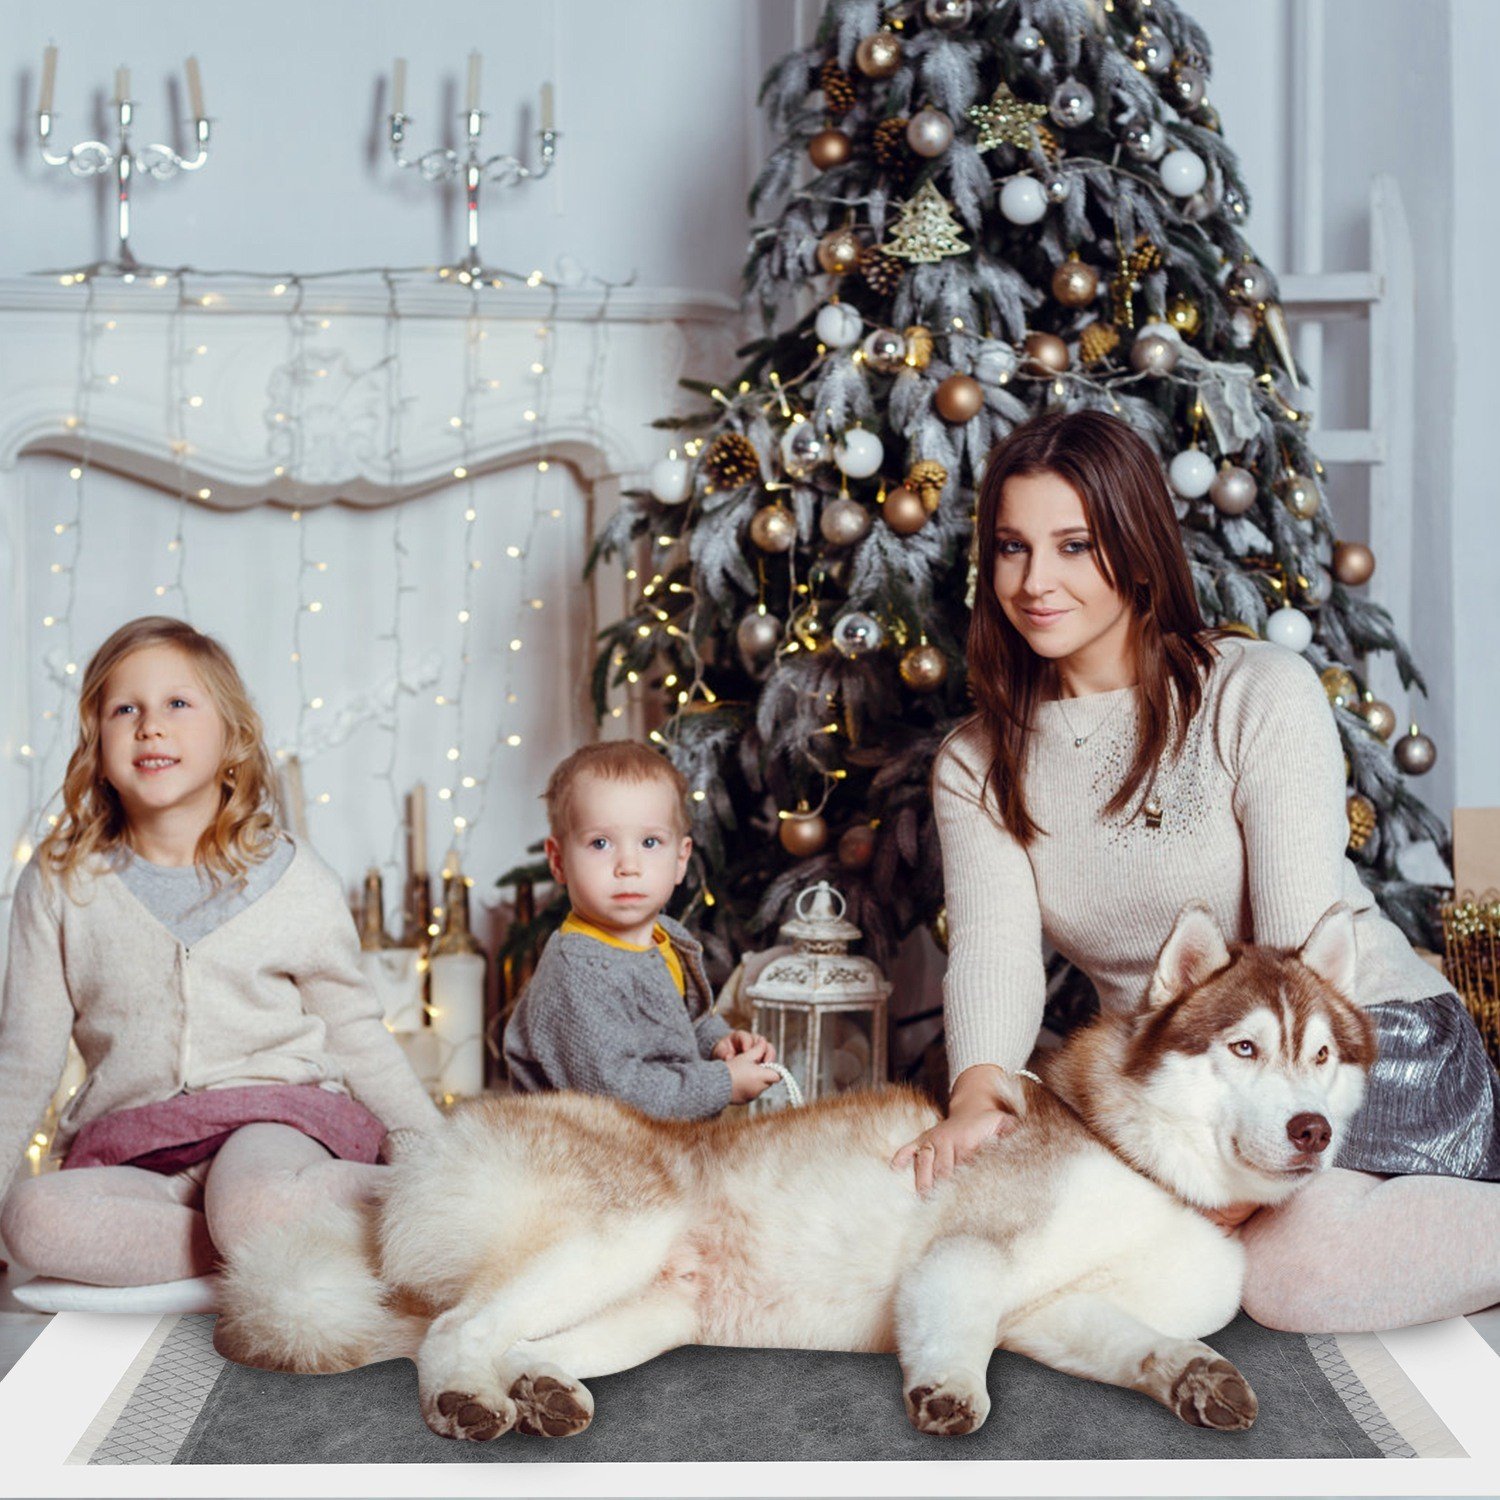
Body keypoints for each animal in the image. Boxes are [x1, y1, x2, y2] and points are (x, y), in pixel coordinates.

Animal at [214, 900, 1376, 1441]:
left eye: (1323, 1056)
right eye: (1245, 1049)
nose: (1313, 1129)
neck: (1141, 1161)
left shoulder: (1057, 1310)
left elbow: (1144, 1343)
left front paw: (1195, 1376)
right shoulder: (968, 1261)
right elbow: (955, 1328)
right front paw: (948, 1391)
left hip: (647, 1310)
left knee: (503, 1339)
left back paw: (538, 1390)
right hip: (615, 1229)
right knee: (454, 1333)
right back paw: (466, 1398)